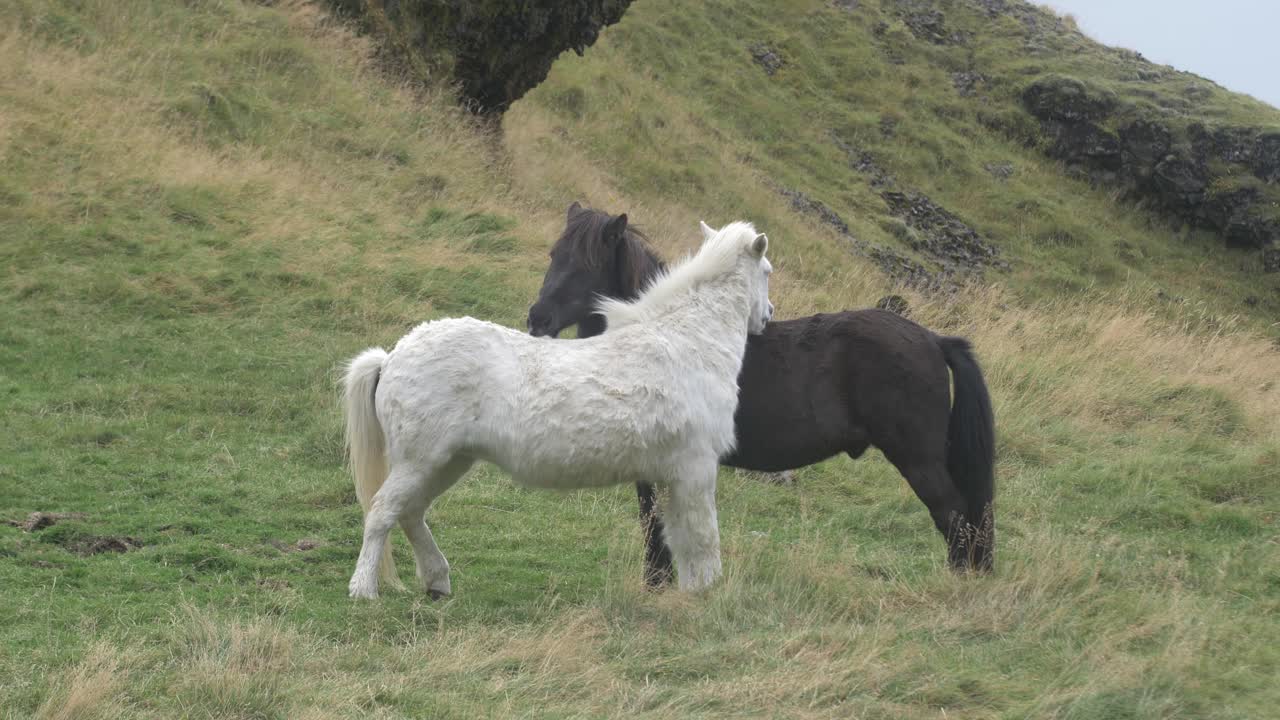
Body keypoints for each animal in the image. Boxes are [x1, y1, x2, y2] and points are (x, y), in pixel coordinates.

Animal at [342, 220, 775, 598]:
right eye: (767, 271)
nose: (767, 315)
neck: (687, 341)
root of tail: (391, 357)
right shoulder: (695, 469)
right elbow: (702, 538)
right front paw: (708, 593)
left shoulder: (673, 476)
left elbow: (678, 538)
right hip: (419, 461)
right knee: (382, 512)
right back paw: (364, 590)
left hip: (447, 461)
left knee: (411, 514)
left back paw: (436, 581)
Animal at [527, 203, 995, 584]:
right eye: (554, 256)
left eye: (586, 264)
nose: (537, 319)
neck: (667, 333)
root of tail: (933, 340)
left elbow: (654, 522)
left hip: (918, 460)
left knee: (956, 520)